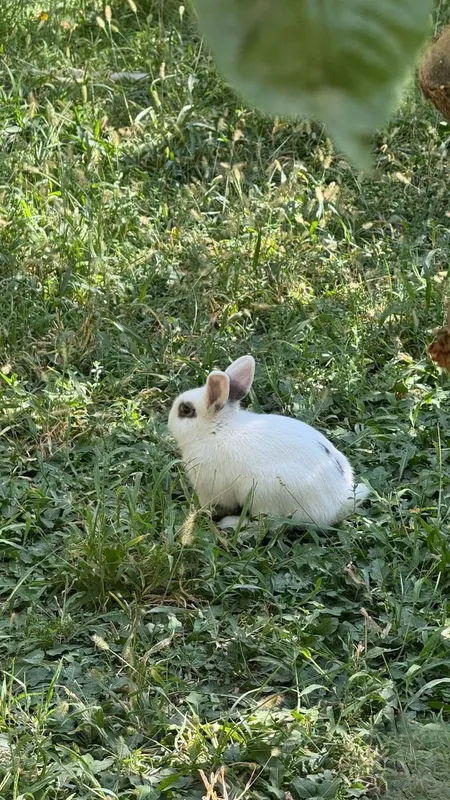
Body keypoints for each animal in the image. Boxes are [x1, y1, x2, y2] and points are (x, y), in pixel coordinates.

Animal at [168, 355, 370, 530]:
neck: (215, 430)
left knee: (268, 523)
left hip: (264, 494)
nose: (168, 421)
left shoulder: (209, 489)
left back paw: (231, 524)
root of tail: (340, 500)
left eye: (185, 410)